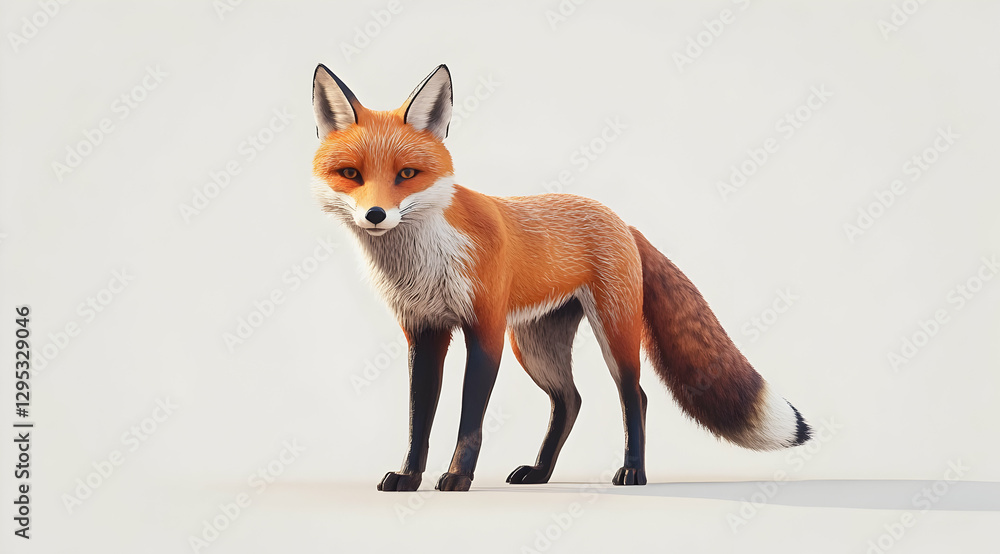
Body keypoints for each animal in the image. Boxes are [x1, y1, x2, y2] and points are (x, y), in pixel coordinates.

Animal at [310, 64, 811, 492]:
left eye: (407, 174)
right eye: (351, 174)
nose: (376, 215)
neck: (425, 258)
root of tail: (621, 221)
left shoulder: (485, 329)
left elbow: (469, 419)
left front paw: (457, 477)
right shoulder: (423, 330)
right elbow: (419, 419)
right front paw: (409, 477)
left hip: (612, 331)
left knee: (636, 396)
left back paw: (633, 472)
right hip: (534, 346)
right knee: (571, 401)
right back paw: (541, 472)